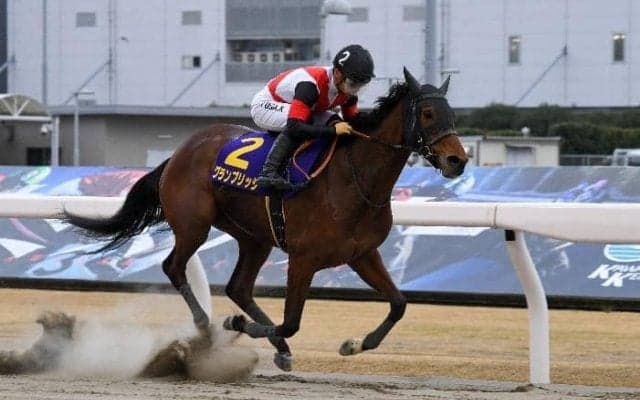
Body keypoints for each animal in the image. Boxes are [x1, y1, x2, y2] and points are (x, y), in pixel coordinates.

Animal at [64, 67, 468, 371]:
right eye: (428, 114)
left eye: (452, 114)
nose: (458, 161)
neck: (355, 178)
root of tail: (179, 152)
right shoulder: (304, 258)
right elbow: (291, 322)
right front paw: (236, 323)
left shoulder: (362, 254)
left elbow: (399, 303)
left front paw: (355, 343)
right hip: (194, 224)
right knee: (174, 267)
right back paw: (208, 328)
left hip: (254, 238)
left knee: (238, 287)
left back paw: (270, 346)